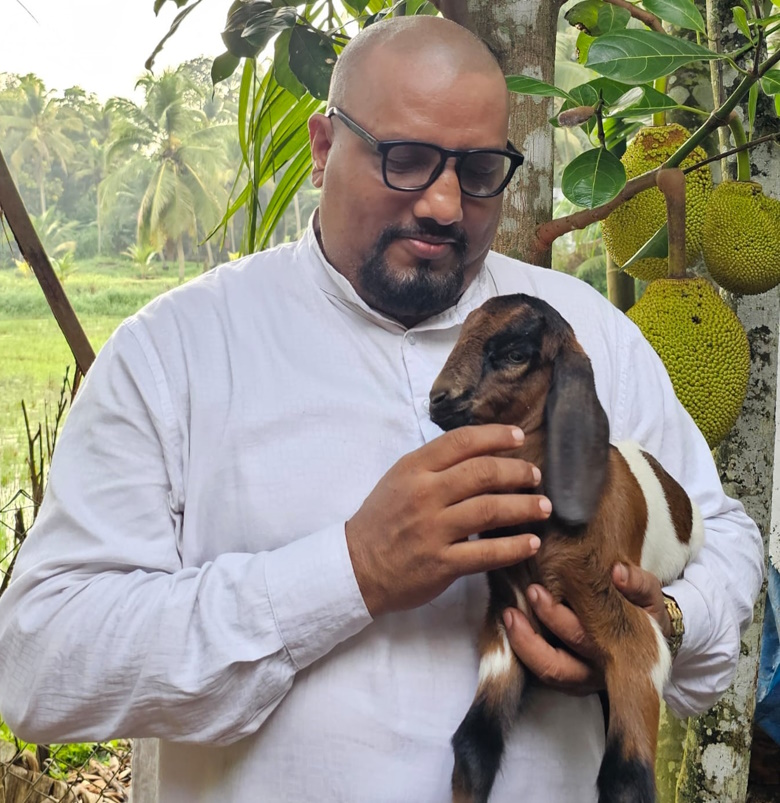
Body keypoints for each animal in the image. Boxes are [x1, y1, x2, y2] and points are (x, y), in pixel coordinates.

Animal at [428, 293, 704, 803]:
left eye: (516, 354)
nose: (439, 399)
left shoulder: (622, 619)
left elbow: (627, 775)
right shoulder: (507, 616)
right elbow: (474, 743)